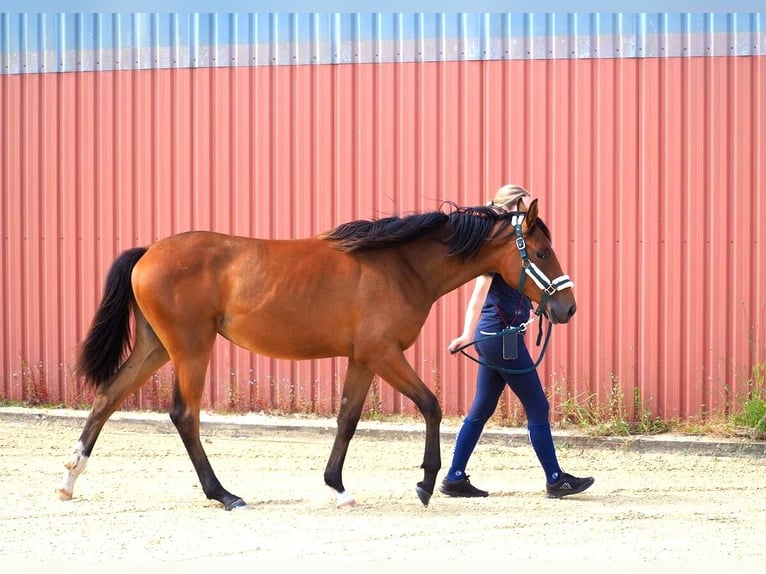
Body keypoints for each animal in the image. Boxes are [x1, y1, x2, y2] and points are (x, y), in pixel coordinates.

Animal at [58, 199, 576, 512]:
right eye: (542, 252)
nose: (566, 308)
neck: (402, 266)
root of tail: (148, 252)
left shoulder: (362, 360)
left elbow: (347, 418)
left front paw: (338, 487)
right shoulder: (383, 354)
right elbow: (430, 405)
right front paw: (426, 484)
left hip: (155, 347)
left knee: (107, 398)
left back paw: (69, 480)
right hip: (190, 348)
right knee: (184, 415)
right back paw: (224, 494)